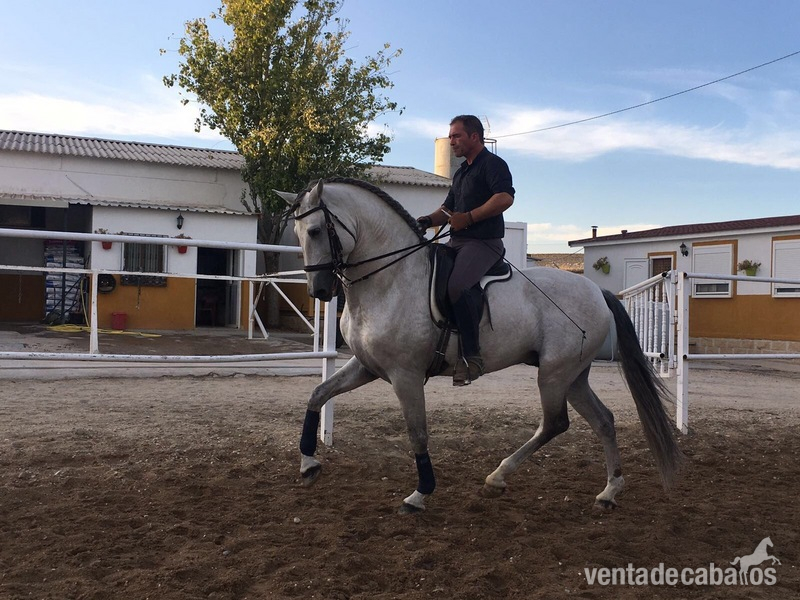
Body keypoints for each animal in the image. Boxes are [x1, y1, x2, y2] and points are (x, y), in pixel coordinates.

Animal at [282, 177, 681, 514]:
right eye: (298, 233)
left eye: (315, 230)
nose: (320, 291)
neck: (391, 279)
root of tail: (597, 291)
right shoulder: (366, 366)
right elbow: (318, 394)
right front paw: (308, 463)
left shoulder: (405, 375)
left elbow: (418, 433)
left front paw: (420, 493)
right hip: (573, 376)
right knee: (603, 420)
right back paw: (609, 491)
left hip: (555, 374)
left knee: (555, 423)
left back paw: (498, 477)